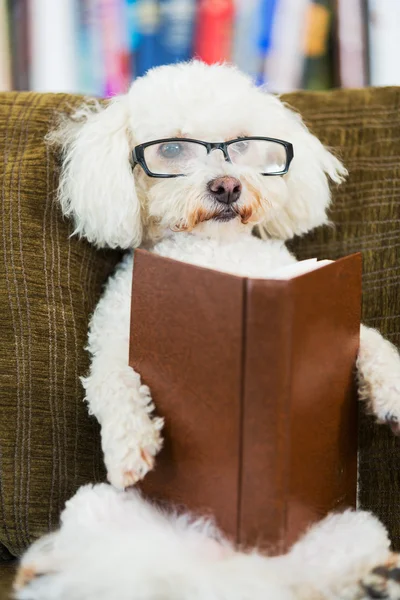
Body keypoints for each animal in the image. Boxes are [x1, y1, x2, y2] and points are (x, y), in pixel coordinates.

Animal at [48, 61, 400, 490]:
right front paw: (130, 446)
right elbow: (111, 380)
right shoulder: (115, 340)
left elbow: (368, 339)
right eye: (170, 149)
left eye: (242, 143)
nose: (227, 186)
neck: (214, 249)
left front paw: (393, 392)